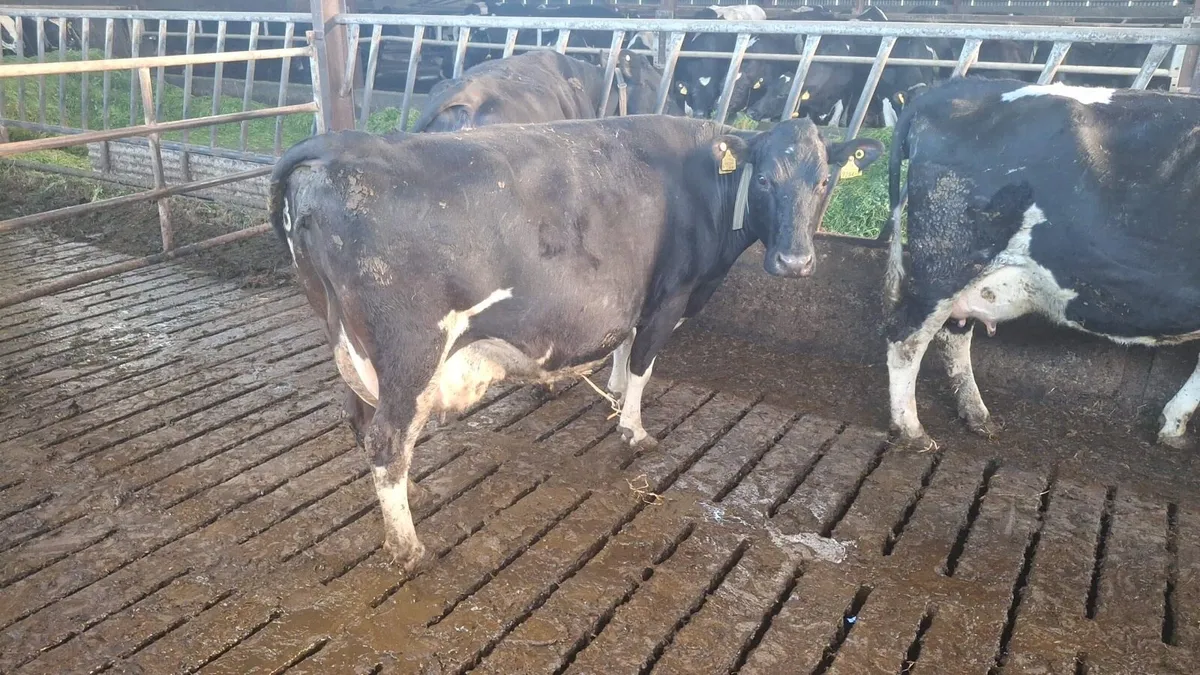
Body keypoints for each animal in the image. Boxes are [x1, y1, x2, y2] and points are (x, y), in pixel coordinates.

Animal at [268, 115, 884, 571]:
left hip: (347, 340)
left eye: (823, 180)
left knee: (357, 416)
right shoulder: (670, 296)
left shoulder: (635, 300)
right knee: (387, 440)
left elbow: (623, 350)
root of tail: (337, 147)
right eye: (764, 180)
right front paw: (634, 430)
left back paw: (412, 496)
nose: (795, 262)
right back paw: (408, 547)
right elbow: (643, 362)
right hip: (411, 350)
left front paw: (611, 393)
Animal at [879, 77, 1200, 452]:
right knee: (906, 338)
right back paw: (911, 429)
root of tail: (945, 87)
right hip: (946, 263)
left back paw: (976, 415)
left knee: (953, 334)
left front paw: (1173, 424)